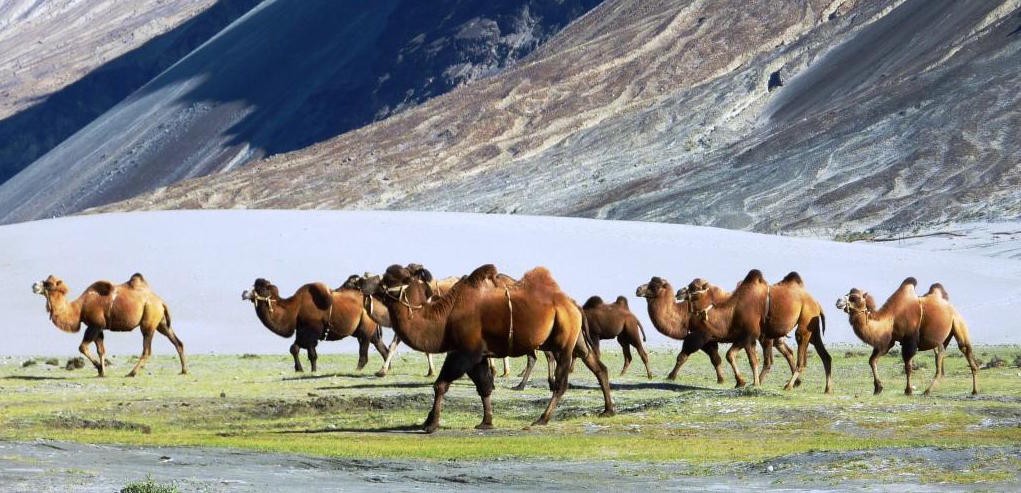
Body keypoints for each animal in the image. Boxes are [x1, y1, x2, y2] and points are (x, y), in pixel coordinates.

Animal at [32, 274, 186, 377]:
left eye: (48, 283)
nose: (34, 285)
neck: (79, 308)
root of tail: (161, 301)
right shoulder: (98, 327)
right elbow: (101, 350)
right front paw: (102, 372)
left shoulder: (95, 325)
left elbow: (83, 347)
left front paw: (100, 368)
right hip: (161, 323)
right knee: (177, 342)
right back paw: (184, 370)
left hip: (148, 322)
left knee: (147, 349)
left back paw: (132, 373)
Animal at [241, 278, 389, 373]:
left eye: (260, 288)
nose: (244, 293)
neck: (295, 308)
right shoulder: (301, 331)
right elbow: (294, 348)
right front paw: (300, 370)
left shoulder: (311, 332)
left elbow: (312, 354)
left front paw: (312, 371)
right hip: (370, 330)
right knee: (381, 346)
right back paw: (386, 368)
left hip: (365, 328)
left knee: (364, 350)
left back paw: (357, 369)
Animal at [363, 263, 614, 432]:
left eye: (391, 278)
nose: (364, 283)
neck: (445, 316)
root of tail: (573, 303)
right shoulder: (476, 354)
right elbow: (484, 386)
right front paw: (486, 421)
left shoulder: (467, 351)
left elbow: (441, 384)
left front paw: (431, 424)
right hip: (575, 338)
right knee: (597, 366)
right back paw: (608, 409)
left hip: (563, 341)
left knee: (562, 382)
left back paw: (542, 418)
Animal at [685, 273, 834, 393]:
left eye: (694, 288)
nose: (681, 293)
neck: (732, 312)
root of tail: (817, 303)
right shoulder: (744, 336)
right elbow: (731, 355)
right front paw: (741, 382)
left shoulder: (750, 335)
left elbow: (752, 360)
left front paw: (753, 383)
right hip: (813, 329)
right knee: (825, 355)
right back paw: (828, 389)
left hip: (805, 321)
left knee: (800, 355)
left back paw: (789, 385)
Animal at [836, 278, 979, 395]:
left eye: (854, 297)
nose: (838, 301)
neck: (892, 317)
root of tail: (951, 308)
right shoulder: (889, 341)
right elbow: (872, 360)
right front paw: (878, 388)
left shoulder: (910, 340)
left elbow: (908, 366)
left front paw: (908, 390)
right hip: (942, 340)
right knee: (940, 356)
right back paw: (930, 390)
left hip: (958, 323)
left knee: (964, 349)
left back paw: (973, 390)